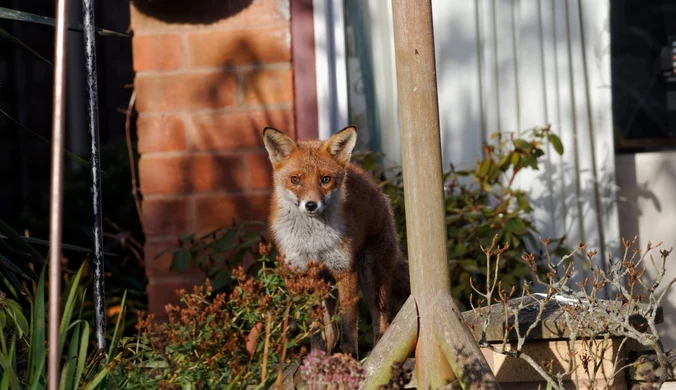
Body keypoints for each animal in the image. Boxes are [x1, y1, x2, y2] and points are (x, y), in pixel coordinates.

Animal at [262, 126, 410, 358]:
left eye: (325, 179)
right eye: (295, 179)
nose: (311, 205)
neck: (313, 242)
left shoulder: (345, 269)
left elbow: (349, 323)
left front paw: (348, 356)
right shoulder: (305, 274)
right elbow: (316, 329)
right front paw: (317, 354)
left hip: (370, 278)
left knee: (382, 321)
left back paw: (377, 353)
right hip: (326, 285)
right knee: (331, 330)